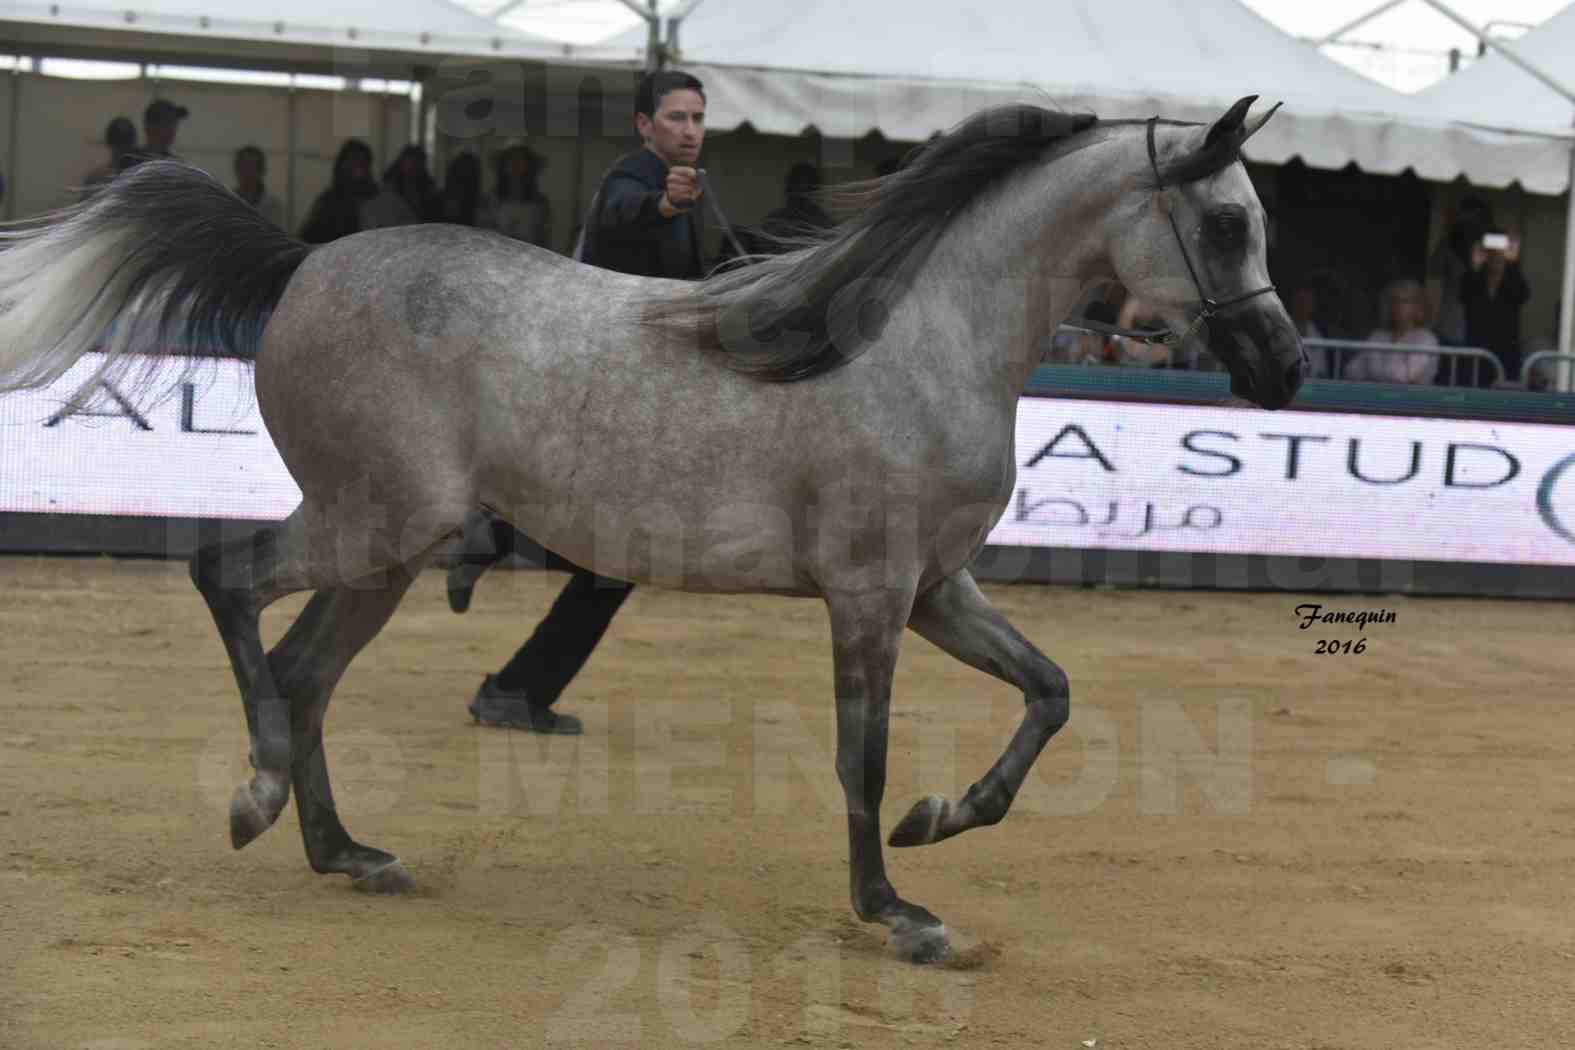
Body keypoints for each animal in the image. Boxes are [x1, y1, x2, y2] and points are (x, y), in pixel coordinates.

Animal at [0, 96, 1304, 963]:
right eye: (1226, 224)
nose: (1285, 368)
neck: (914, 343)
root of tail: (304, 262)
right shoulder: (873, 597)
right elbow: (864, 757)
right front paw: (898, 912)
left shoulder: (939, 590)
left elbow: (1050, 692)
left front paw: (941, 826)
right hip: (372, 520)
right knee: (226, 582)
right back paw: (258, 798)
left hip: (391, 548)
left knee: (304, 668)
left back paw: (348, 853)